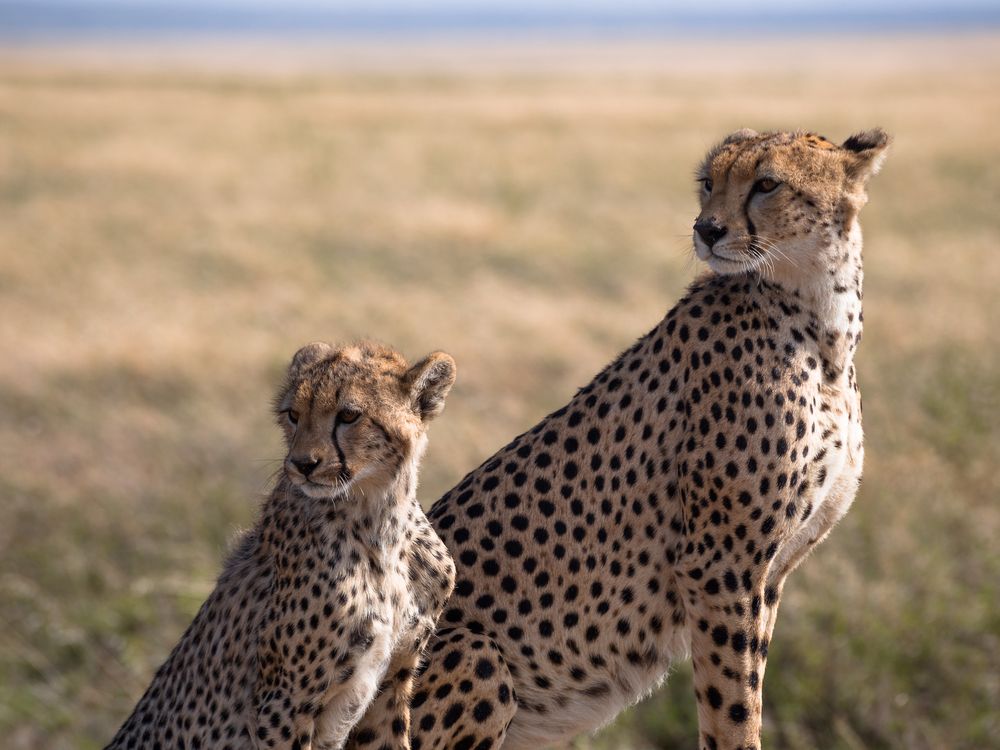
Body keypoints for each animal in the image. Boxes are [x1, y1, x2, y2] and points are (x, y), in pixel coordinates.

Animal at [106, 342, 458, 750]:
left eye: (349, 415)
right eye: (293, 414)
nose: (303, 464)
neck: (380, 524)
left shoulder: (392, 680)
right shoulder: (283, 702)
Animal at [352, 129, 892, 750]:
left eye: (767, 183)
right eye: (709, 181)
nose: (707, 229)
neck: (821, 318)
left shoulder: (766, 574)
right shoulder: (718, 566)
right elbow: (733, 708)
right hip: (477, 654)